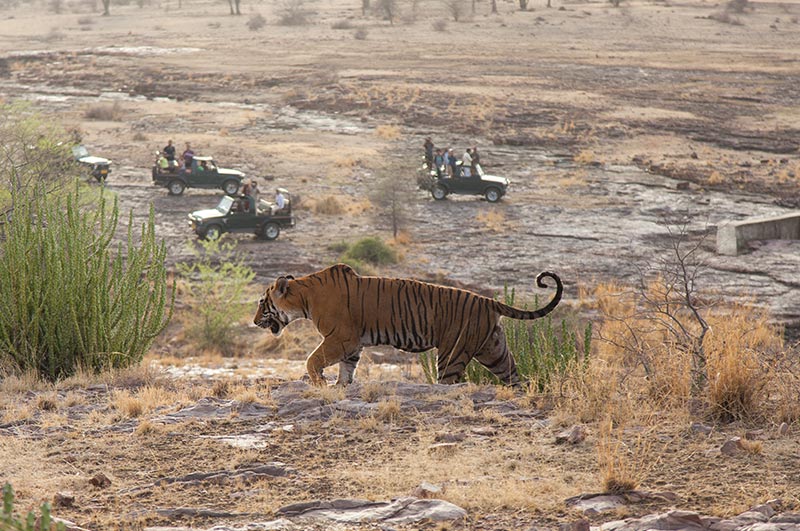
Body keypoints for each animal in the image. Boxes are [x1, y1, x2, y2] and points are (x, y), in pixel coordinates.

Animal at [255, 264, 564, 386]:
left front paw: (319, 382)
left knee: (450, 381)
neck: (304, 297)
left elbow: (312, 359)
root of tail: (488, 300)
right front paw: (339, 386)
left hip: (452, 353)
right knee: (515, 377)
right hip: (494, 350)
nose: (255, 321)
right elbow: (346, 368)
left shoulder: (340, 338)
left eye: (261, 302)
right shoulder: (351, 344)